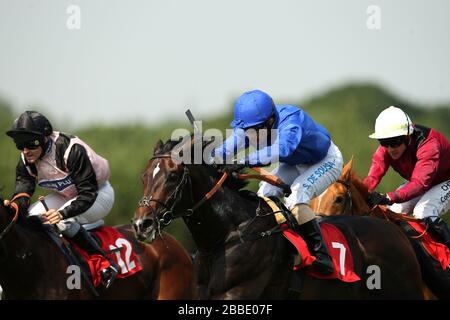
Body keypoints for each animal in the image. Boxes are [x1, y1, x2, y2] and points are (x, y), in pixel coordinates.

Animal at [131, 138, 426, 300]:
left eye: (172, 177)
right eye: (144, 176)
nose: (141, 224)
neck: (229, 235)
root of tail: (396, 232)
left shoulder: (237, 293)